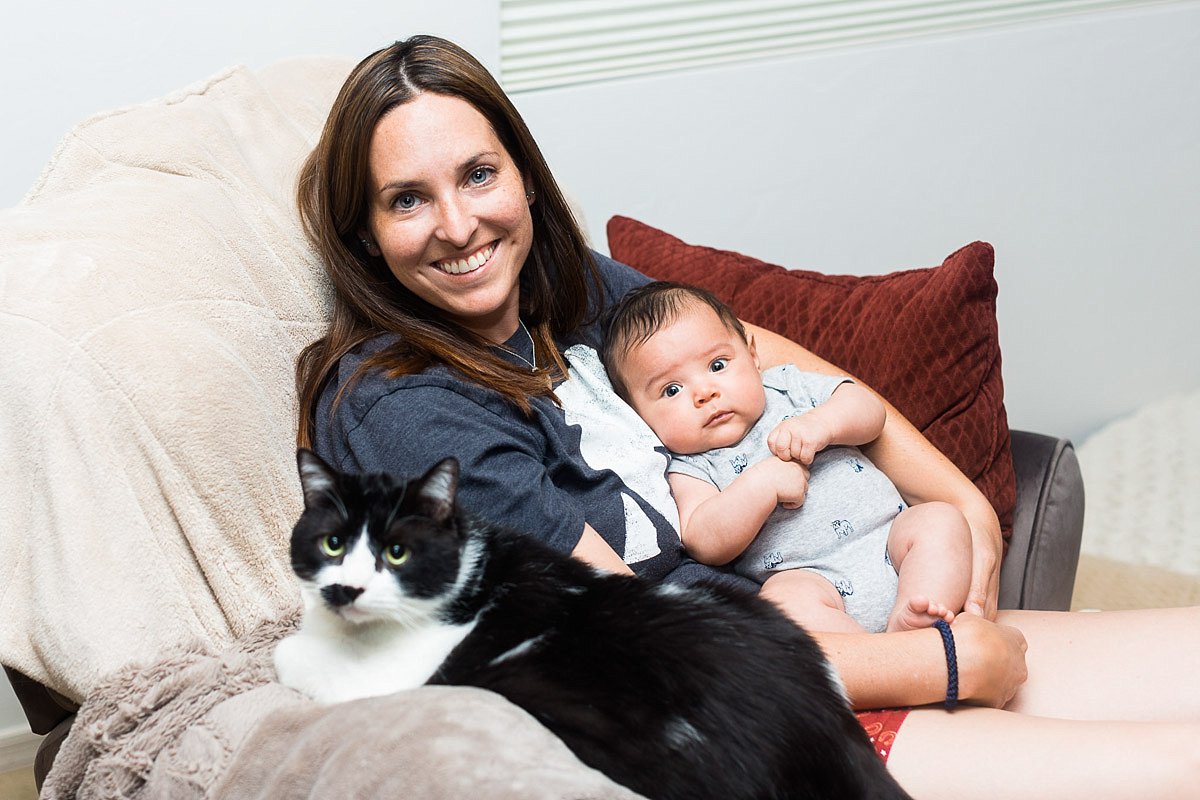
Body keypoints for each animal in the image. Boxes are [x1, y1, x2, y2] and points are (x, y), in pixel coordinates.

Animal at [274, 449, 914, 800]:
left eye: (397, 552)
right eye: (333, 544)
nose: (346, 589)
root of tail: (834, 738)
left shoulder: (384, 679)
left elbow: (294, 657)